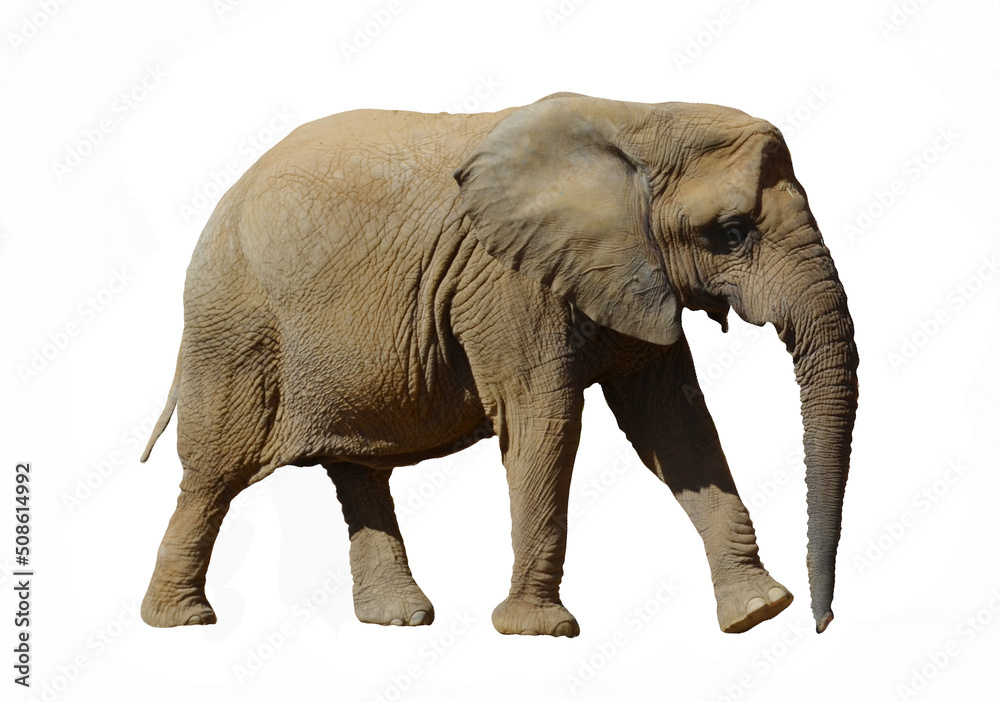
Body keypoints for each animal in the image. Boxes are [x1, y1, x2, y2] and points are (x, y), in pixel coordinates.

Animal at [139, 92, 858, 638]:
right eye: (732, 233)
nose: (821, 625)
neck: (637, 119)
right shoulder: (507, 285)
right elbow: (546, 421)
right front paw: (540, 632)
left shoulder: (633, 277)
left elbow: (674, 427)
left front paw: (757, 613)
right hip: (234, 325)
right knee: (213, 473)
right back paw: (181, 623)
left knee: (357, 470)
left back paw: (399, 621)